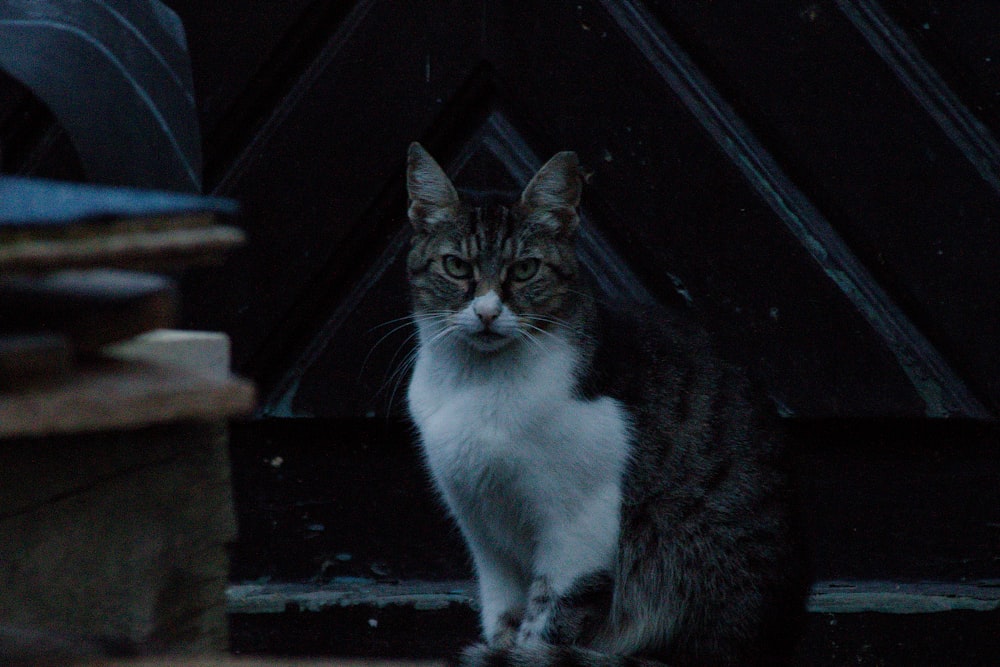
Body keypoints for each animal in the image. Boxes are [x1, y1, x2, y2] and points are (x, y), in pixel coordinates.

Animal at [402, 142, 808, 667]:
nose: (488, 312)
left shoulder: (580, 529)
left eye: (525, 269)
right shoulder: (484, 535)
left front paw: (528, 649)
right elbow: (503, 621)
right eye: (456, 266)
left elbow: (547, 624)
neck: (477, 387)